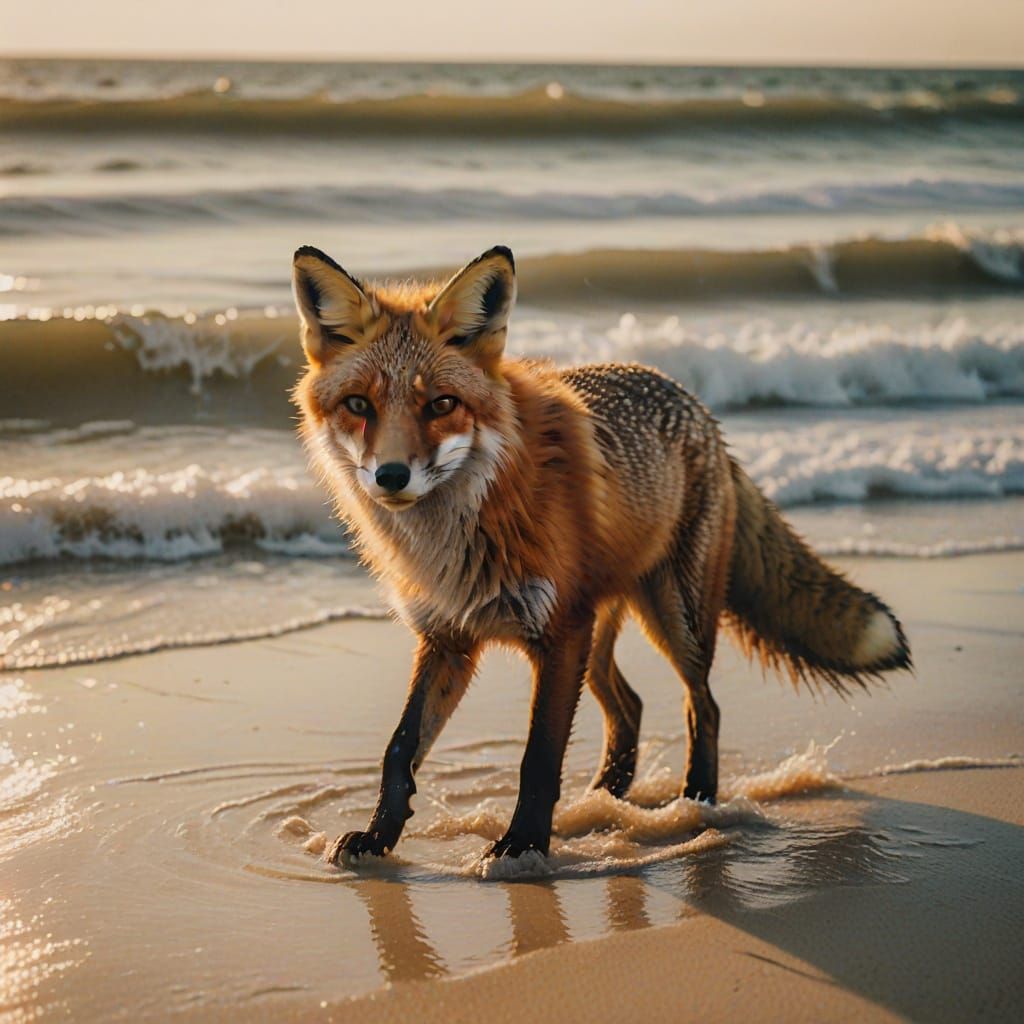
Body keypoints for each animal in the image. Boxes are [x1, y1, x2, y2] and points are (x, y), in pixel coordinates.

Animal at [291, 243, 911, 864]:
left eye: (442, 404)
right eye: (358, 404)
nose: (391, 476)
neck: (460, 535)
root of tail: (694, 403)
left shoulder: (560, 631)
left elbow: (538, 757)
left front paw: (522, 846)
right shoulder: (449, 637)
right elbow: (399, 749)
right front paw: (378, 837)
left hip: (674, 619)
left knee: (702, 705)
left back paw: (696, 801)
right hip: (603, 631)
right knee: (630, 706)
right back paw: (605, 800)